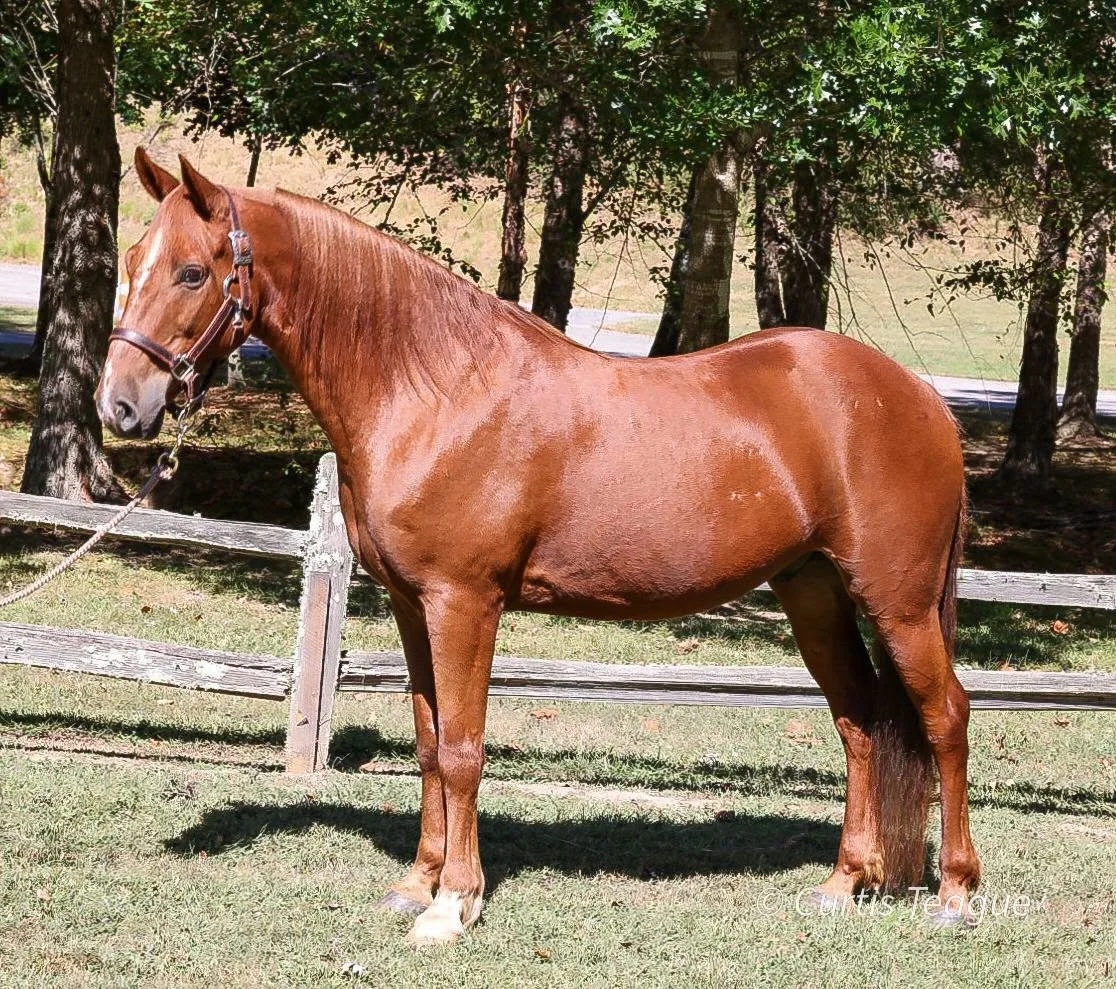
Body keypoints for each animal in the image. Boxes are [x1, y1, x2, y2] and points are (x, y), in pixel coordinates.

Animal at [95, 147, 981, 944]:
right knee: (858, 720)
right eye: (133, 261)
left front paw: (453, 905)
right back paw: (843, 882)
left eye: (192, 272)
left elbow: (463, 748)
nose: (120, 405)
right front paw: (416, 884)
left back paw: (955, 894)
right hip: (814, 591)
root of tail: (922, 398)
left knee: (944, 716)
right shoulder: (413, 605)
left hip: (898, 603)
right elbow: (428, 742)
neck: (433, 389)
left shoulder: (465, 603)